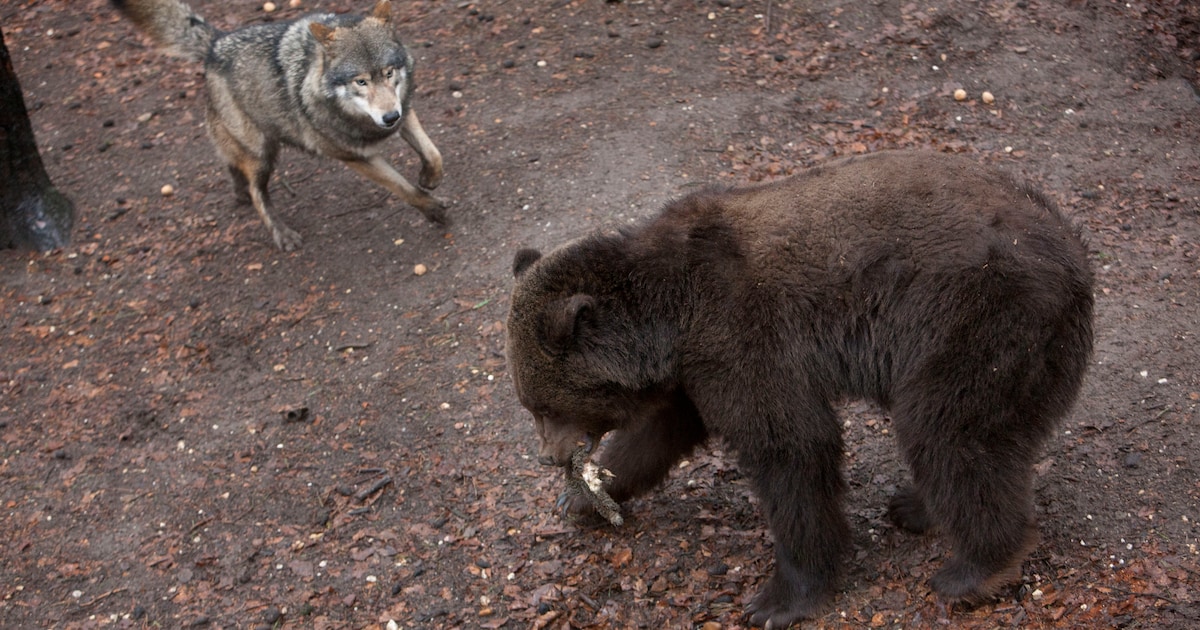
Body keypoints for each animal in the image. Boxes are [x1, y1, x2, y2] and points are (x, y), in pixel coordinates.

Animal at [111, 0, 445, 251]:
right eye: (360, 81)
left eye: (389, 73)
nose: (389, 118)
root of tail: (216, 43)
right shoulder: (354, 156)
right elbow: (400, 186)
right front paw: (432, 209)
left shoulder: (405, 109)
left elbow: (433, 153)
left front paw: (428, 178)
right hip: (261, 155)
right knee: (257, 190)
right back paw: (281, 234)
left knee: (234, 169)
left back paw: (239, 194)